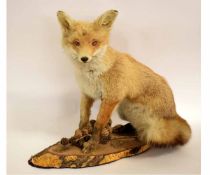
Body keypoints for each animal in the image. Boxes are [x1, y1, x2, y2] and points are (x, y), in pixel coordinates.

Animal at [56, 9, 191, 152]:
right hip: (123, 109)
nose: (84, 58)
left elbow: (98, 124)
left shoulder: (112, 97)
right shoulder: (87, 93)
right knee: (137, 126)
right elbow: (83, 118)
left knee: (147, 133)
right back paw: (124, 129)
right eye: (76, 43)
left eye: (94, 42)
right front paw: (81, 133)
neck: (93, 75)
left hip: (149, 126)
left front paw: (92, 143)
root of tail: (174, 113)